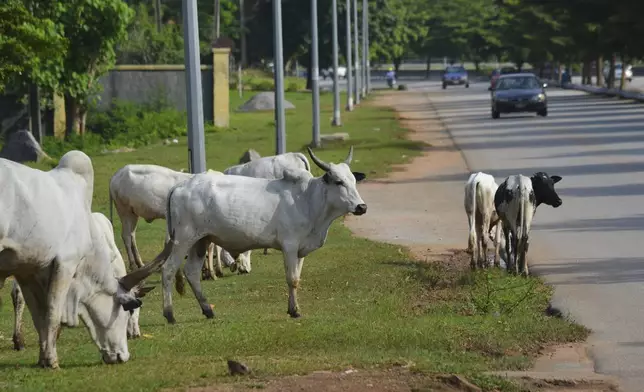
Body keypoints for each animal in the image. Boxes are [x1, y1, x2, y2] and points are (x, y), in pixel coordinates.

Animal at [108, 164, 249, 278]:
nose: (247, 270)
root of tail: (116, 175)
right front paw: (212, 271)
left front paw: (209, 270)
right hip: (124, 210)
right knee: (126, 236)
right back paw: (133, 265)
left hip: (133, 214)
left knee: (132, 235)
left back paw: (140, 263)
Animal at [159, 145, 364, 324]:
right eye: (339, 182)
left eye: (354, 181)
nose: (362, 207)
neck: (308, 200)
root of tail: (181, 186)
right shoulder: (290, 246)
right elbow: (292, 279)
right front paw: (294, 311)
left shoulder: (301, 250)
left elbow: (297, 278)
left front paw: (293, 308)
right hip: (183, 240)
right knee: (168, 270)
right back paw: (169, 314)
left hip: (201, 241)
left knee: (192, 272)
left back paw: (208, 309)